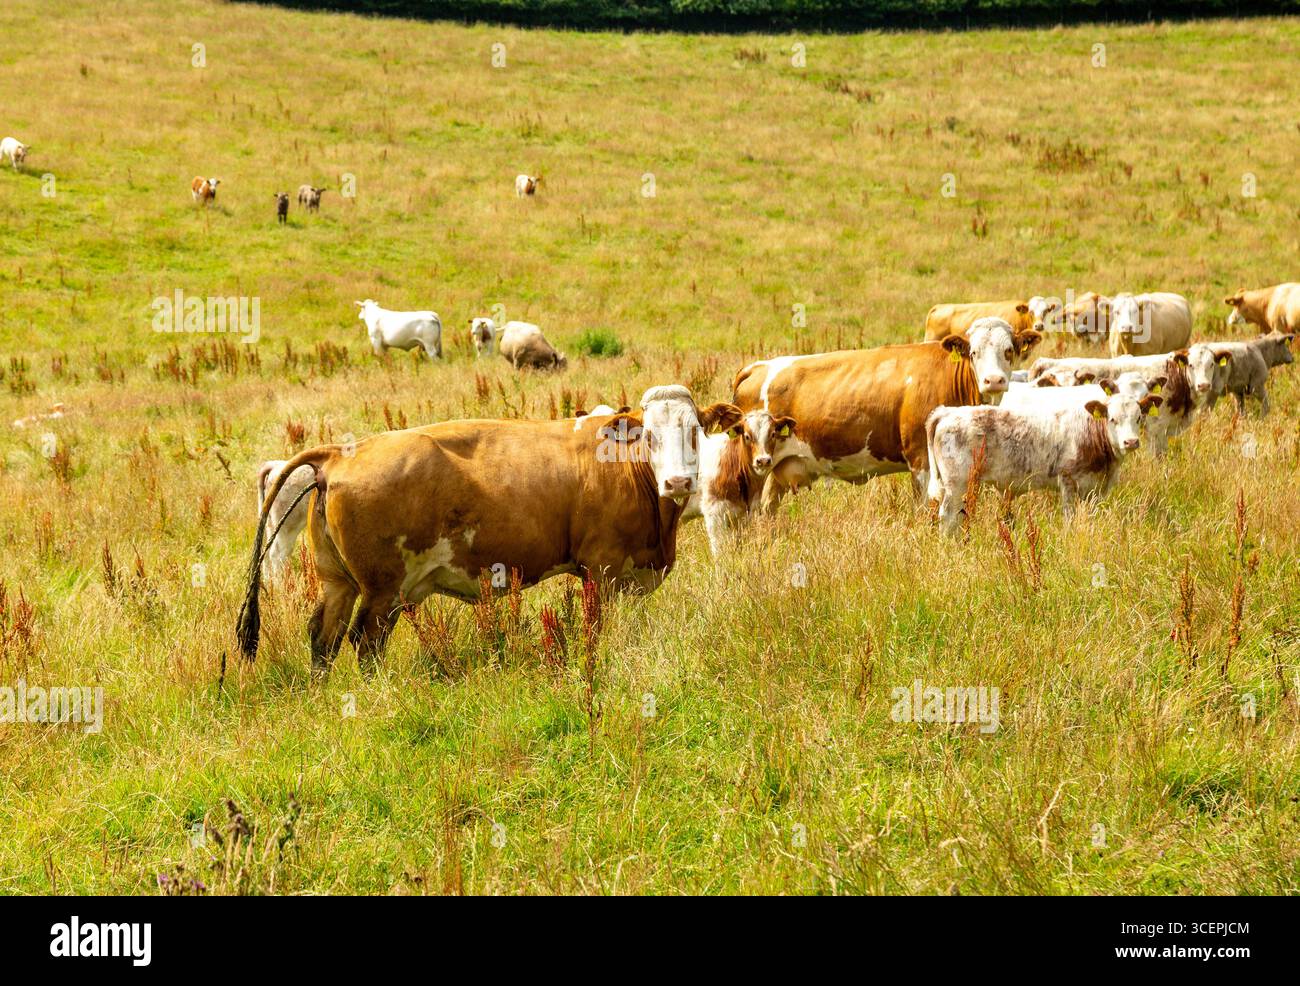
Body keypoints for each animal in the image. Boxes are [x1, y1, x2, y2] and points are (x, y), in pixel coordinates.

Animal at [236, 386, 730, 673]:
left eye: (696, 431)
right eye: (650, 435)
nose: (678, 482)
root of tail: (339, 452)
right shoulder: (602, 569)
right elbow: (596, 630)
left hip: (339, 581)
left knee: (323, 637)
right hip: (382, 590)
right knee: (365, 644)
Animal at [681, 408, 798, 557]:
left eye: (773, 434)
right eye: (747, 436)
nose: (763, 460)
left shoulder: (743, 515)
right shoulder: (714, 514)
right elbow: (720, 552)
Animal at [926, 391, 1162, 533]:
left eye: (1139, 418)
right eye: (1112, 419)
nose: (1131, 441)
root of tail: (948, 412)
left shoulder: (1095, 489)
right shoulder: (1068, 481)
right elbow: (1069, 517)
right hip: (956, 484)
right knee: (947, 516)